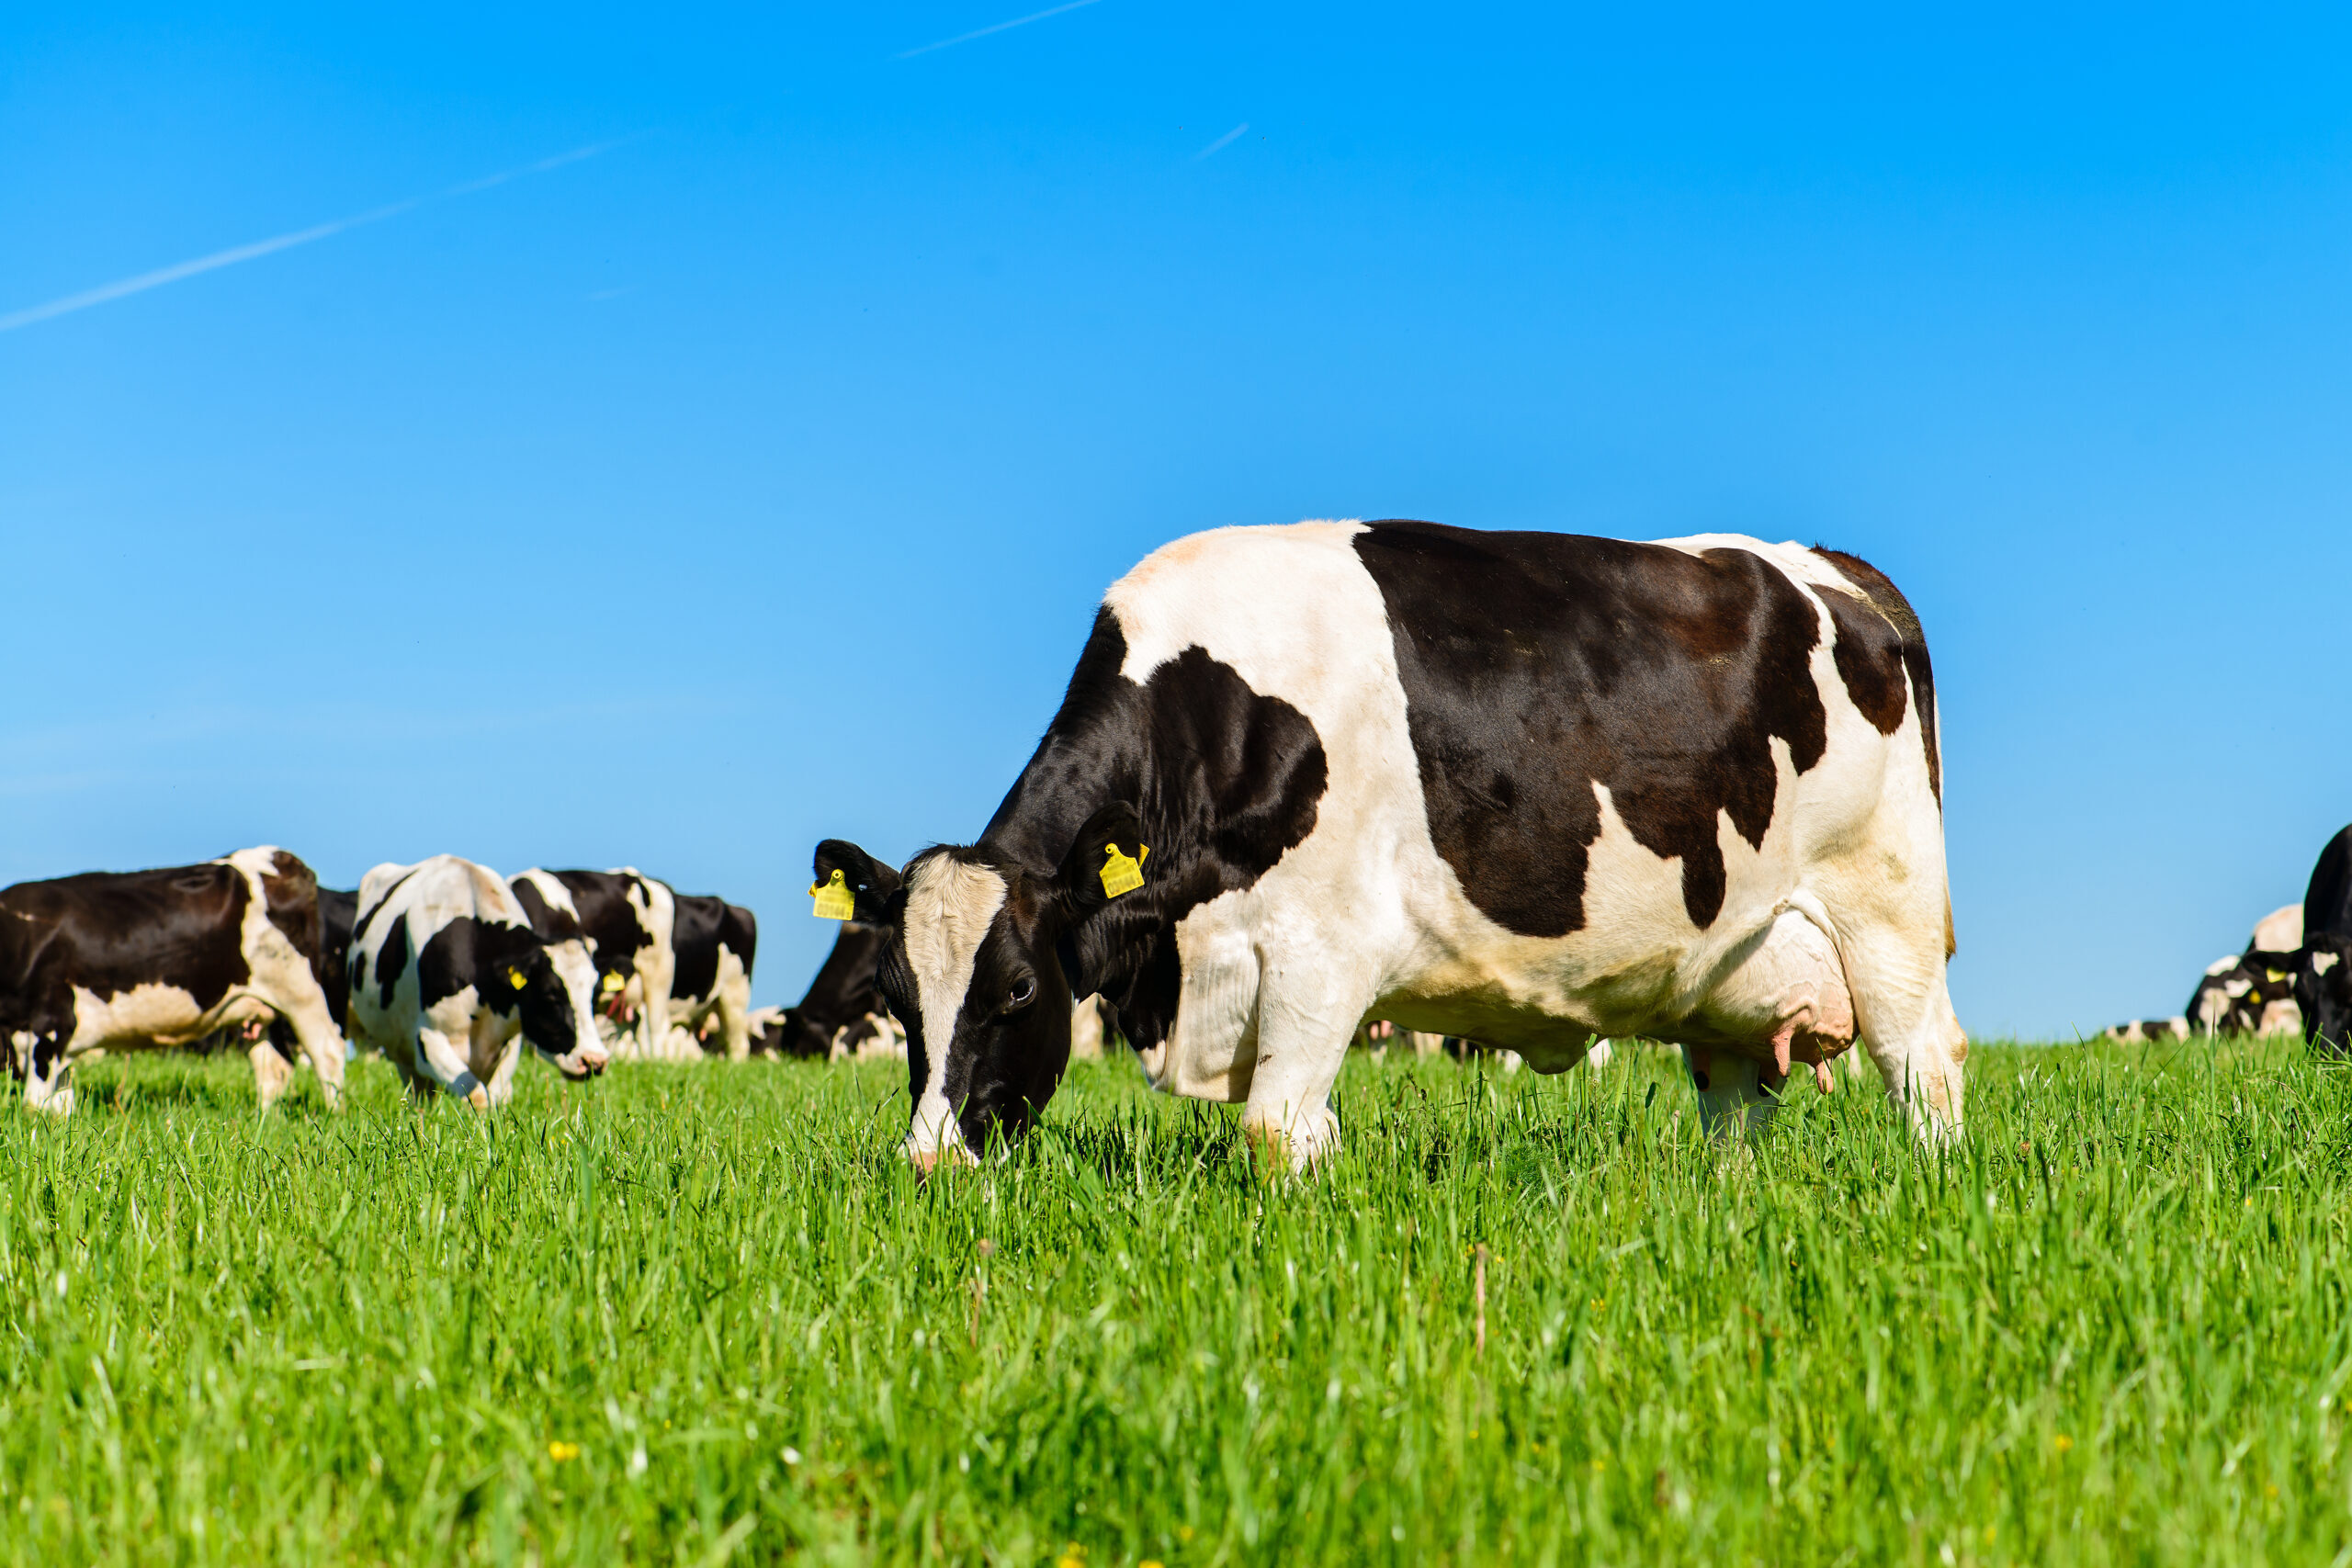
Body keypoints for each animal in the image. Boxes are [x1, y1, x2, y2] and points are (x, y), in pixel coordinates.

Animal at [0, 847, 349, 1114]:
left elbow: (34, 1103)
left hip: (301, 993)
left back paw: (334, 1116)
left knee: (327, 1052)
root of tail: (281, 857)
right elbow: (60, 1104)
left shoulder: (52, 1020)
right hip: (260, 1006)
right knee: (274, 1067)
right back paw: (264, 1120)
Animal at [346, 856, 611, 1107]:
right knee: (420, 1096)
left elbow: (496, 1096)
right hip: (402, 1051)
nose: (595, 1060)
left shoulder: (509, 1041)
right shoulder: (429, 1039)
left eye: (593, 996)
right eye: (550, 994)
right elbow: (478, 1097)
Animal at [813, 520, 1962, 1171]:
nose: (930, 1163)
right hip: (1728, 966)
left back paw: (1935, 1190)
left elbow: (1274, 1135)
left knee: (1925, 1065)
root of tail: (1827, 567)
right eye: (897, 1001)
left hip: (1886, 906)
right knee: (1734, 1107)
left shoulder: (1324, 950)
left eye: (1016, 990)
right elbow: (1307, 1135)